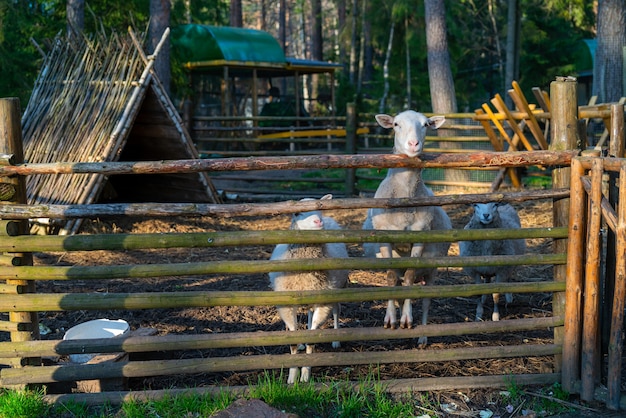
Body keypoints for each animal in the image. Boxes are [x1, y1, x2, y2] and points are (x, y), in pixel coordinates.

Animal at [266, 194, 348, 384]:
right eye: (297, 213)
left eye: (319, 208)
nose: (319, 221)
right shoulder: (287, 305)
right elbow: (293, 341)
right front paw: (292, 377)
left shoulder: (323, 302)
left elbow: (313, 339)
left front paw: (305, 376)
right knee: (308, 316)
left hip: (336, 288)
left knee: (336, 310)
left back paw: (336, 339)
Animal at [360, 109, 448, 344]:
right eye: (396, 124)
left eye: (426, 124)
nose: (413, 143)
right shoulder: (384, 235)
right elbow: (391, 278)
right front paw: (391, 319)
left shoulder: (420, 233)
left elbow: (409, 276)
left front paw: (407, 318)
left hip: (432, 270)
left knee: (425, 301)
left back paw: (422, 337)